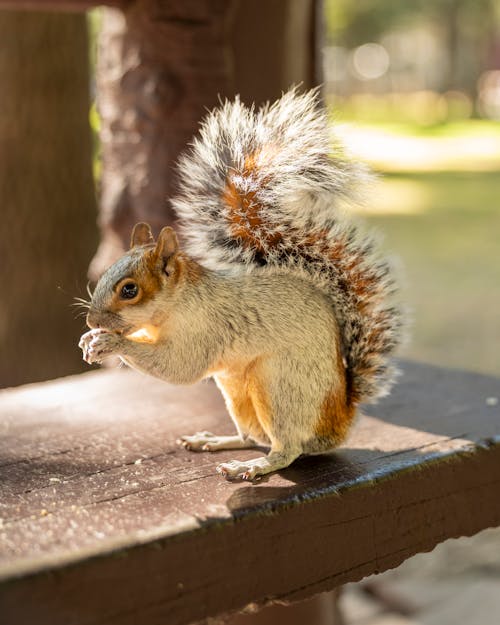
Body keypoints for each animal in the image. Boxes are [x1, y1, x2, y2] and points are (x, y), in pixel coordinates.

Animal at [79, 86, 406, 478]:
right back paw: (216, 441)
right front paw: (90, 340)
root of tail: (340, 419)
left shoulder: (205, 329)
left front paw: (111, 343)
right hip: (236, 389)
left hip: (279, 385)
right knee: (251, 434)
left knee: (287, 448)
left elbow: (178, 368)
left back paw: (253, 467)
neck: (176, 306)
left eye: (129, 290)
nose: (92, 320)